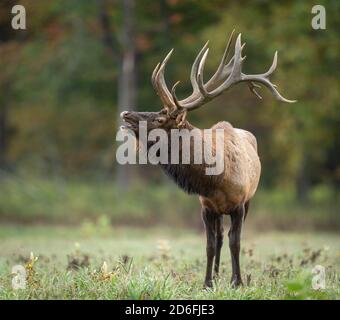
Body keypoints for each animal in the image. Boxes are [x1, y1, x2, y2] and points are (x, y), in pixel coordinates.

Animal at [120, 31, 294, 288]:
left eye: (161, 119)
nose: (126, 114)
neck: (215, 180)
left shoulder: (240, 204)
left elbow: (236, 242)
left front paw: (237, 281)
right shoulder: (206, 207)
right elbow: (210, 245)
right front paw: (208, 282)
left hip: (249, 200)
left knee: (229, 238)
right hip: (218, 211)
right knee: (220, 237)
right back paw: (218, 274)